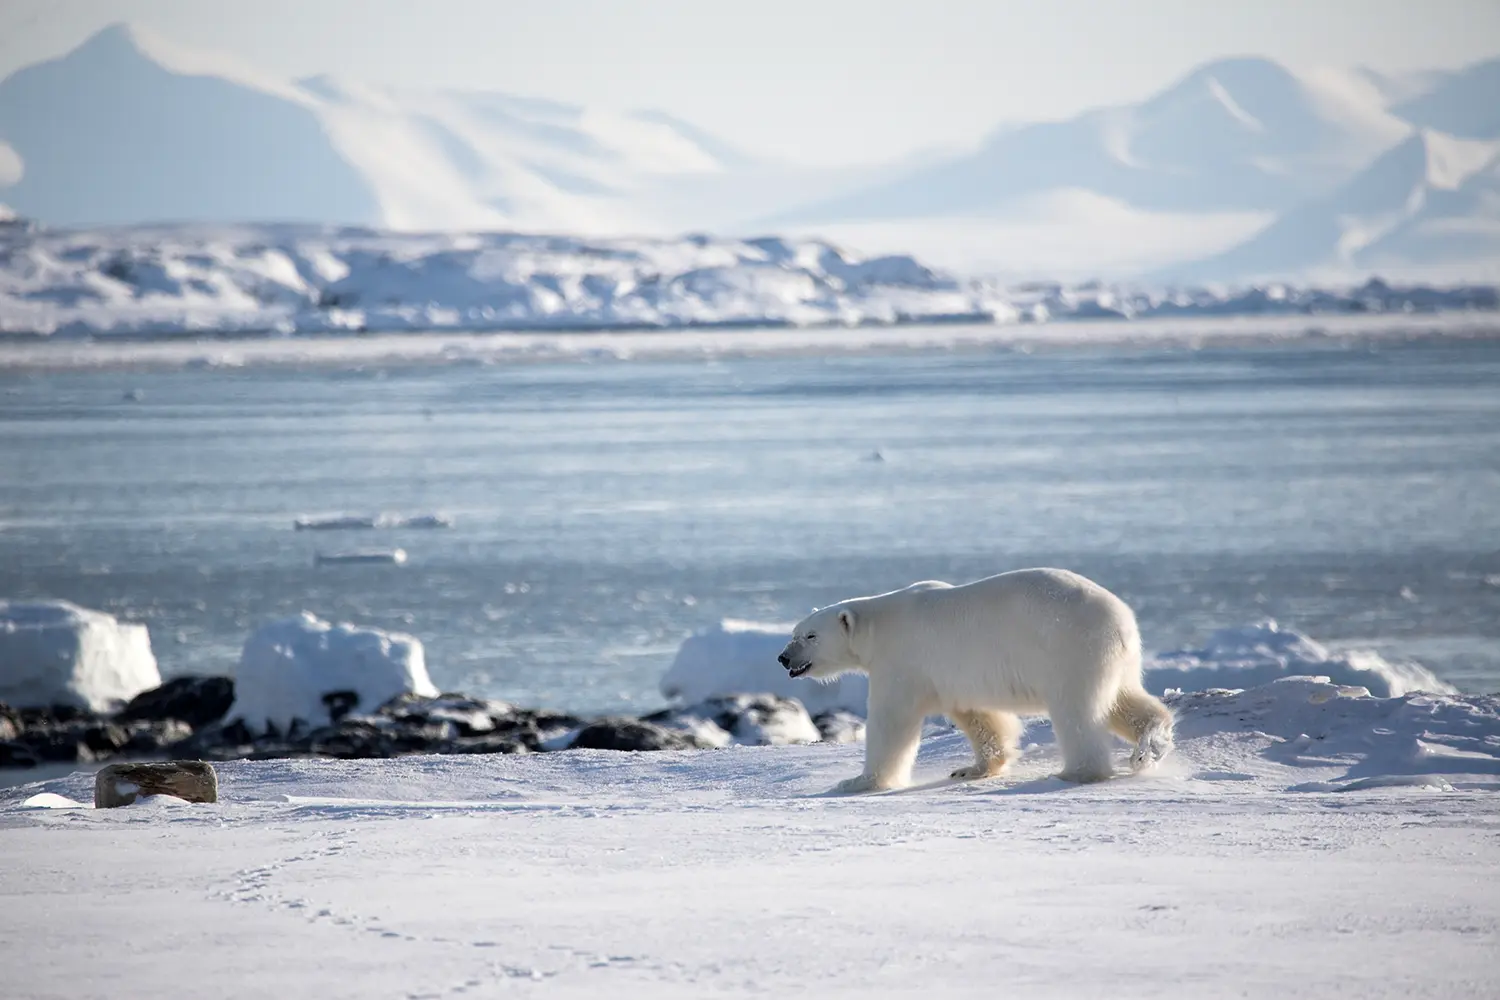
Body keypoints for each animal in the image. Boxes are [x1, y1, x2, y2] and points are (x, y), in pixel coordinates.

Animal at [777, 568, 1174, 793]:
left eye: (810, 636)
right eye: (794, 632)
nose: (783, 658)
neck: (879, 626)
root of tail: (1122, 620)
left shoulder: (903, 661)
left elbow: (891, 722)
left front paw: (860, 781)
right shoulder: (952, 675)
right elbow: (980, 717)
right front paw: (972, 768)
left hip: (1070, 649)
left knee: (1077, 711)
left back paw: (1077, 771)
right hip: (1114, 660)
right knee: (1125, 701)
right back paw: (1150, 744)